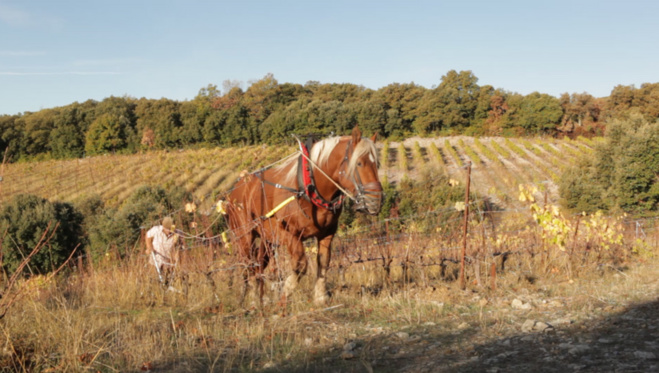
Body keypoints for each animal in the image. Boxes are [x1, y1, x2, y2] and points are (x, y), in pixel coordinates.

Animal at [226, 126, 382, 304]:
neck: (308, 188)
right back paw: (252, 299)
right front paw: (284, 297)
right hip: (244, 236)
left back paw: (260, 297)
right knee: (248, 265)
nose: (375, 201)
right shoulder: (290, 235)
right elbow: (301, 265)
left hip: (268, 239)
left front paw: (320, 297)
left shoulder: (327, 234)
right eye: (359, 163)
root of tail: (235, 189)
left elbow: (323, 262)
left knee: (259, 264)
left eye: (377, 164)